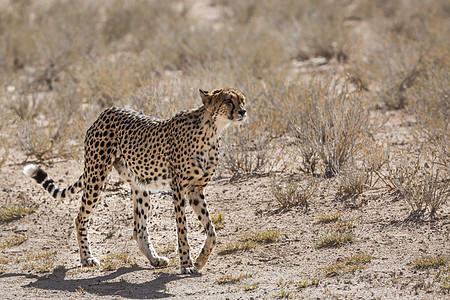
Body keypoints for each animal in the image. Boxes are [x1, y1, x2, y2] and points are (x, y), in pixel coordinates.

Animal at [23, 87, 248, 274]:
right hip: (97, 175)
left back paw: (155, 259)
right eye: (229, 100)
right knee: (80, 218)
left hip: (140, 185)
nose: (244, 112)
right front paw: (186, 264)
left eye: (242, 100)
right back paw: (87, 258)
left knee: (138, 228)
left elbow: (212, 232)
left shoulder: (196, 189)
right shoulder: (178, 188)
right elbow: (182, 230)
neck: (212, 130)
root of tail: (106, 111)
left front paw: (200, 261)